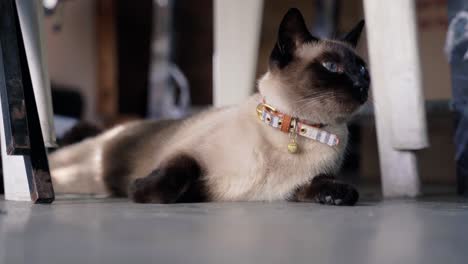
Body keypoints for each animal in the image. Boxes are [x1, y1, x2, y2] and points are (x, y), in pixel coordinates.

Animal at [50, 8, 370, 205]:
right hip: (80, 172)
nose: (362, 85)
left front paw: (336, 195)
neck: (296, 128)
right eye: (331, 67)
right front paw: (140, 191)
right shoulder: (188, 153)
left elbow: (334, 187)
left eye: (363, 68)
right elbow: (174, 175)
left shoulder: (299, 185)